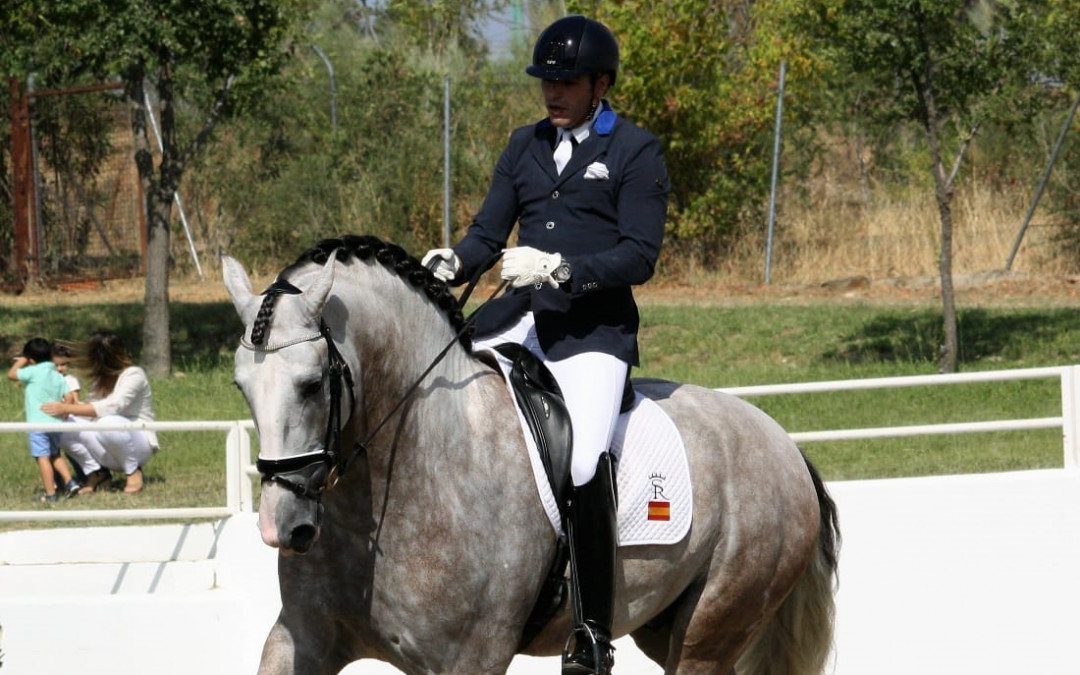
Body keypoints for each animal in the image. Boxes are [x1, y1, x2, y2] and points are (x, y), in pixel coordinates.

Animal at [223, 235, 840, 675]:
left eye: (311, 385)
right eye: (240, 387)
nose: (284, 527)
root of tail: (785, 446)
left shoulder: (468, 660)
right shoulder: (300, 637)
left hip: (709, 632)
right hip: (664, 626)